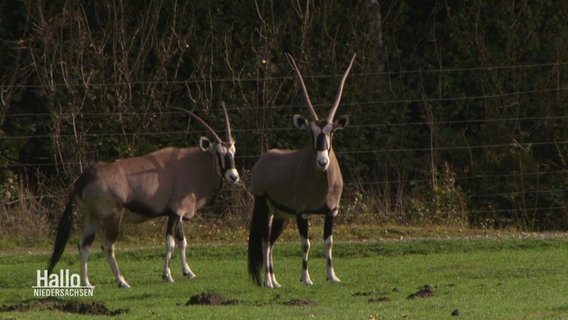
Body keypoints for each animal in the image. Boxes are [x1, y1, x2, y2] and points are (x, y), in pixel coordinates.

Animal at [46, 104, 237, 288]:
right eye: (219, 153)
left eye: (232, 152)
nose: (233, 176)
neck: (191, 164)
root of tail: (83, 179)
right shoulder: (175, 213)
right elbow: (170, 244)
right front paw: (167, 276)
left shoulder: (178, 215)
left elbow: (182, 242)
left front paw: (188, 273)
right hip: (111, 218)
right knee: (107, 246)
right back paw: (122, 282)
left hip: (92, 217)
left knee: (83, 246)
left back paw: (87, 283)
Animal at [247, 53, 356, 288]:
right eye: (311, 132)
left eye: (332, 132)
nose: (323, 161)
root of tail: (263, 160)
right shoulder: (302, 213)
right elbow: (305, 244)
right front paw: (306, 278)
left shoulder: (332, 212)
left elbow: (328, 242)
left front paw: (332, 276)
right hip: (264, 207)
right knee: (264, 241)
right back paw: (267, 281)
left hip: (281, 215)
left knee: (270, 242)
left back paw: (275, 280)